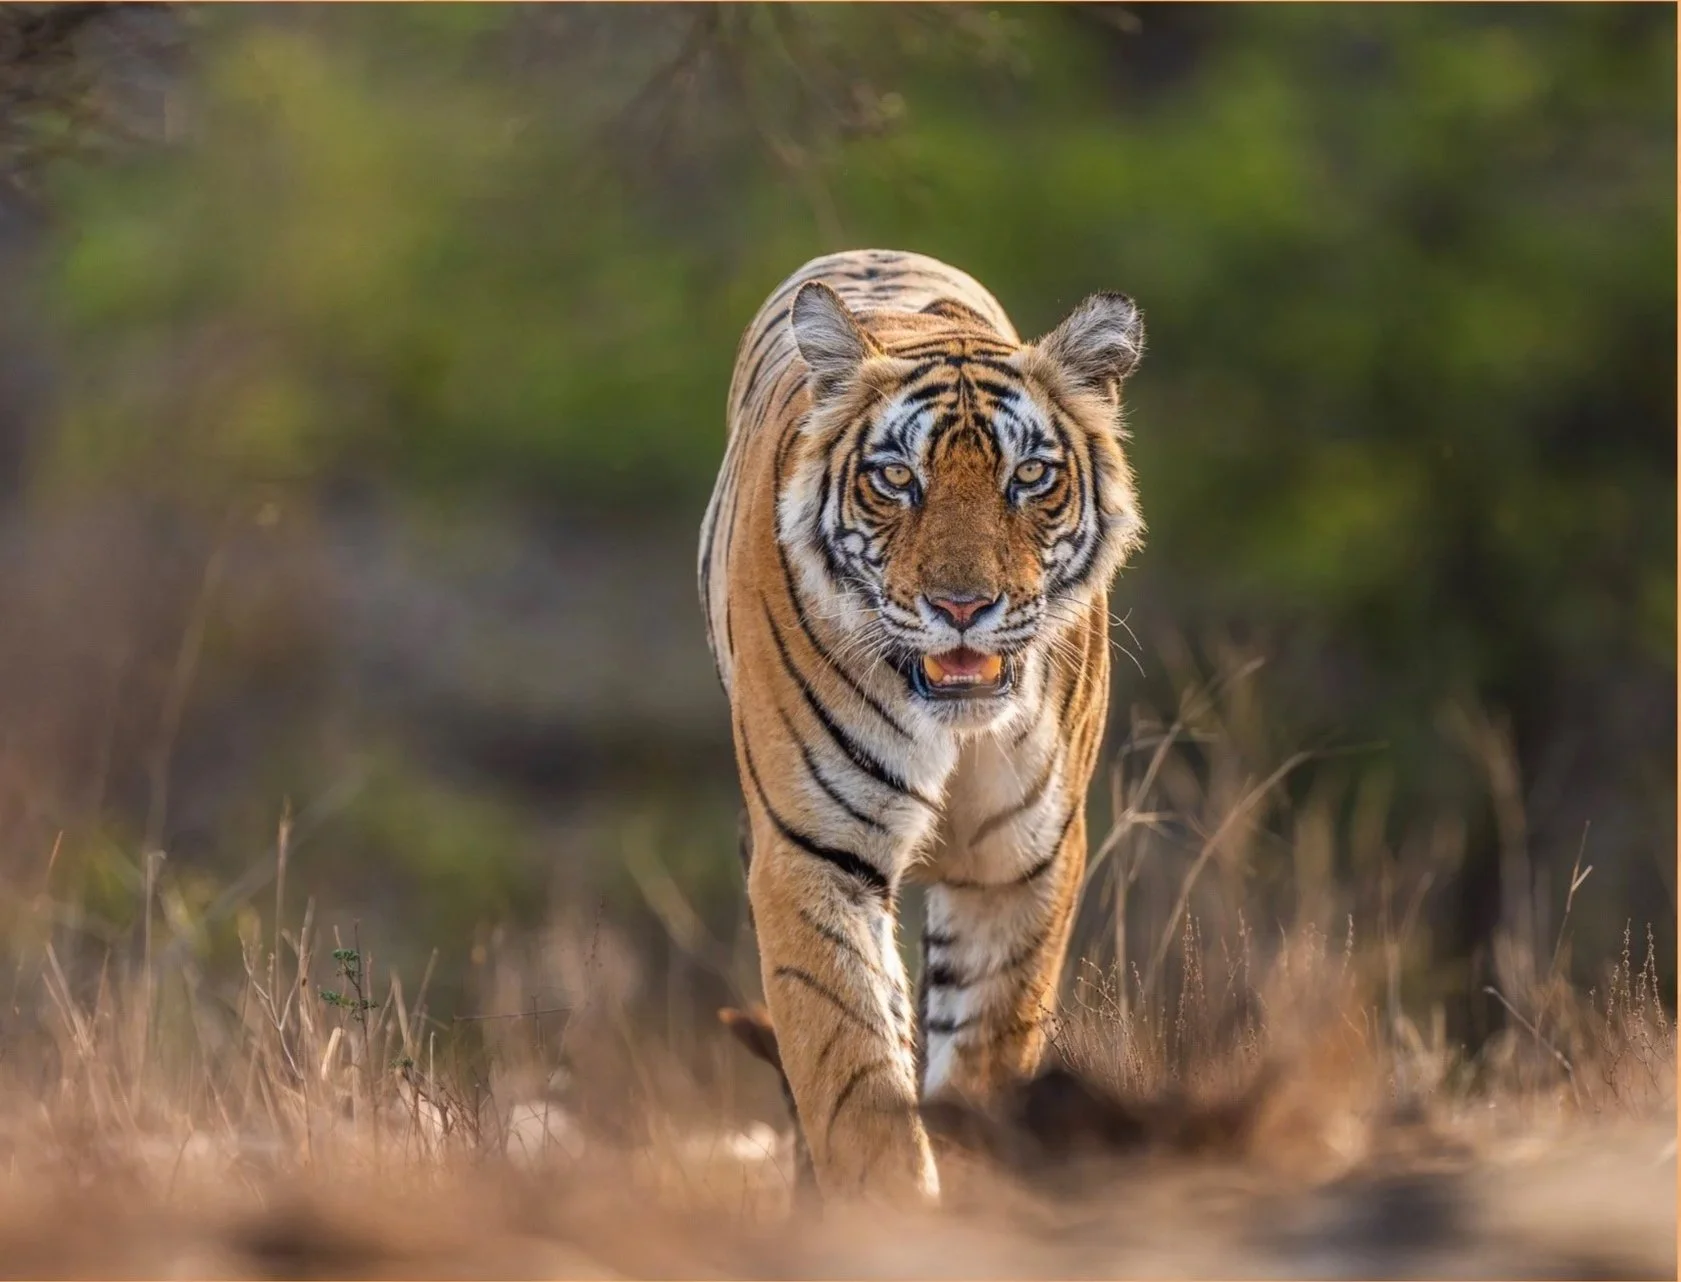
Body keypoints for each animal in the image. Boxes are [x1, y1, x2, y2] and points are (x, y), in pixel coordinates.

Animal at [698, 248, 1145, 1203]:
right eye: (897, 479)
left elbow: (983, 1054)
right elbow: (855, 1082)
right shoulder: (814, 853)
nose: (963, 607)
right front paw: (891, 1212)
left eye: (1029, 477)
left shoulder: (1016, 863)